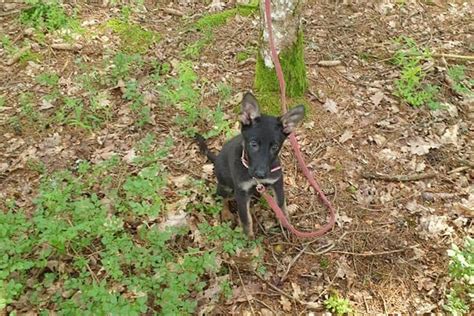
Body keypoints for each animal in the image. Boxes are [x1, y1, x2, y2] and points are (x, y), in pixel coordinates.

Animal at [195, 91, 304, 237]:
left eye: (275, 147)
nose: (261, 174)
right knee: (221, 198)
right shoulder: (241, 192)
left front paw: (286, 224)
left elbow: (281, 205)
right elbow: (245, 218)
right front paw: (248, 239)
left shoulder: (277, 182)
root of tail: (217, 158)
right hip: (226, 186)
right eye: (253, 144)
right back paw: (226, 213)